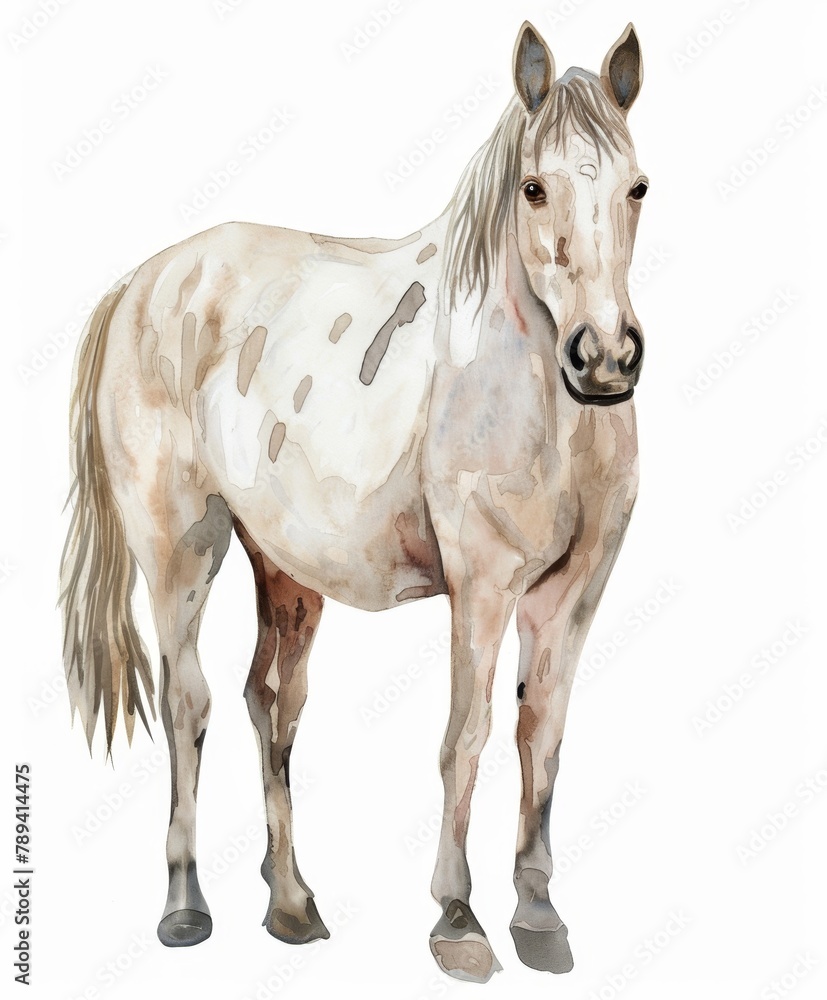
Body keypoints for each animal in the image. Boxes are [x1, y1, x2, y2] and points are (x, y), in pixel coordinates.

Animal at [60, 20, 648, 982]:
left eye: (638, 186)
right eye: (533, 187)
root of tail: (143, 282)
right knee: (188, 702)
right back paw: (185, 906)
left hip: (284, 567)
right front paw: (458, 920)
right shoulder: (481, 586)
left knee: (271, 702)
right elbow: (466, 737)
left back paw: (292, 905)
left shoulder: (573, 593)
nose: (603, 359)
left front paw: (538, 916)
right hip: (180, 548)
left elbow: (542, 737)